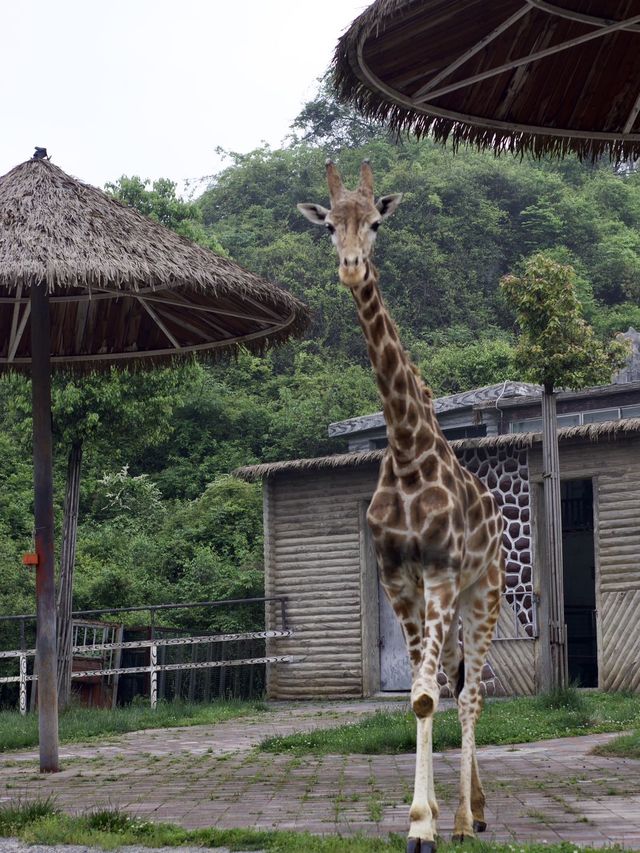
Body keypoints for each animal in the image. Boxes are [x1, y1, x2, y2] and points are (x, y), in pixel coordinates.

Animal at [298, 161, 504, 852]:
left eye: (377, 223)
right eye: (329, 226)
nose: (351, 267)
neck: (409, 452)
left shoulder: (439, 574)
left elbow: (429, 698)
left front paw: (427, 825)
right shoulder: (397, 578)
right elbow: (419, 693)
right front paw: (424, 816)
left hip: (485, 593)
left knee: (471, 695)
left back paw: (469, 817)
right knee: (454, 686)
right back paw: (471, 809)